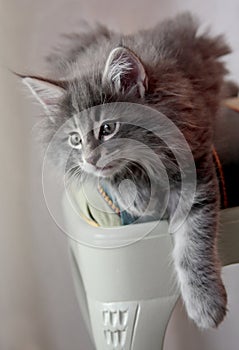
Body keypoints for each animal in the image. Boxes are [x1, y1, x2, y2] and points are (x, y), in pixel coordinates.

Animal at [22, 13, 230, 328]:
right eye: (75, 139)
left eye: (108, 128)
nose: (89, 158)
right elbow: (113, 180)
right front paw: (135, 196)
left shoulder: (196, 167)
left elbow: (194, 243)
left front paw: (206, 304)